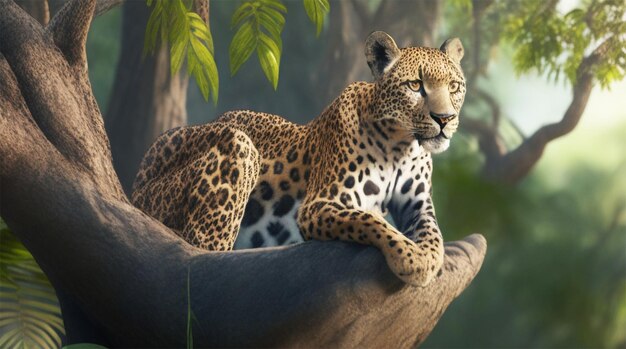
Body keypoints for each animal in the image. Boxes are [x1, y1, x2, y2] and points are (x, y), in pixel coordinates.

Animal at [132, 30, 464, 286]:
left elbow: (434, 233)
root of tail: (140, 171)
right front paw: (412, 259)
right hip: (236, 148)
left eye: (454, 86)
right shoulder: (320, 204)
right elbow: (371, 220)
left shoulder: (417, 205)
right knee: (202, 249)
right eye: (415, 85)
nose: (445, 119)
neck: (403, 148)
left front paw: (429, 257)